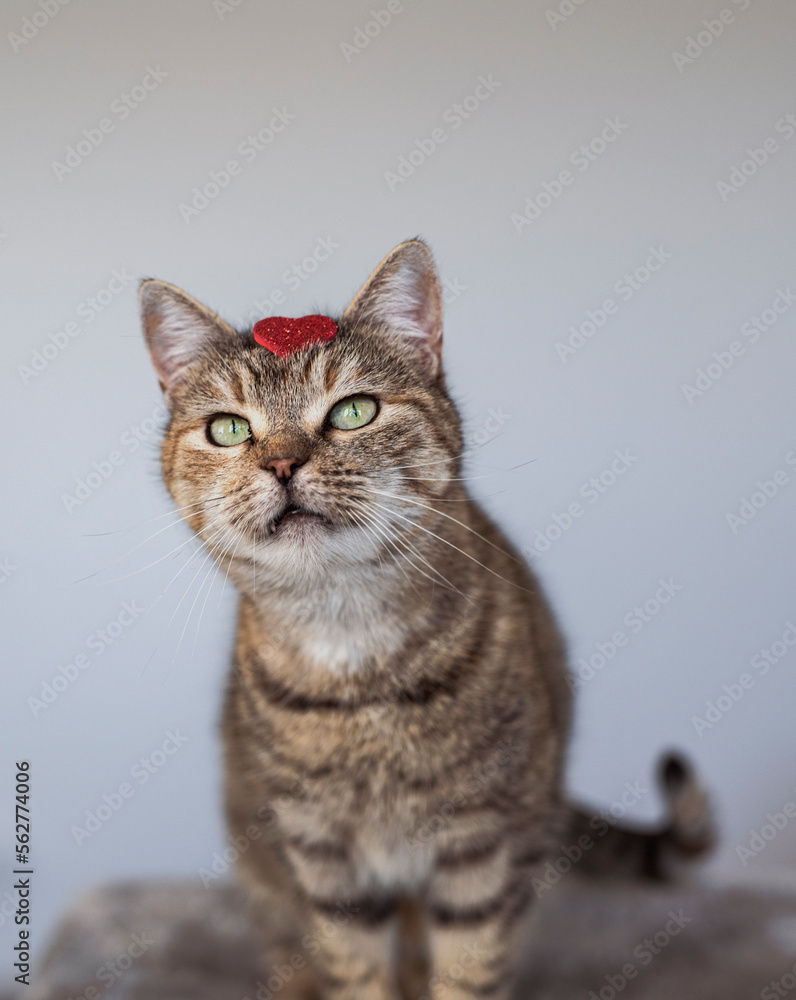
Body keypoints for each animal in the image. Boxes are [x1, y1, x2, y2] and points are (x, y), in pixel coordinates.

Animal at [140, 242, 720, 1000]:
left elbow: (469, 970)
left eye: (353, 411)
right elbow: (354, 970)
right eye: (230, 428)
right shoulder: (322, 858)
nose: (284, 462)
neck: (352, 644)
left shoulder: (482, 849)